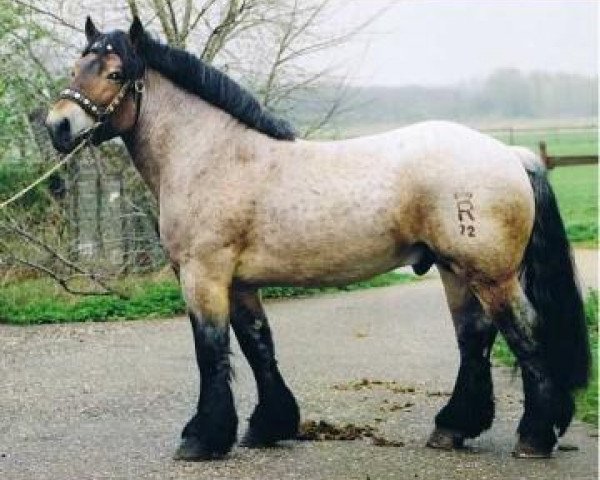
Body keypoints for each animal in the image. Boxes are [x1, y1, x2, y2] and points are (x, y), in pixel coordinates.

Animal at [47, 16, 592, 462]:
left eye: (115, 74)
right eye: (77, 66)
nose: (58, 126)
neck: (213, 155)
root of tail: (510, 155)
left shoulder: (204, 276)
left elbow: (211, 350)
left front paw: (202, 438)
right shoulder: (239, 282)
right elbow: (257, 345)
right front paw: (269, 426)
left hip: (490, 274)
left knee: (524, 332)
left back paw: (535, 436)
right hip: (455, 271)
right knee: (474, 337)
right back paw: (453, 429)